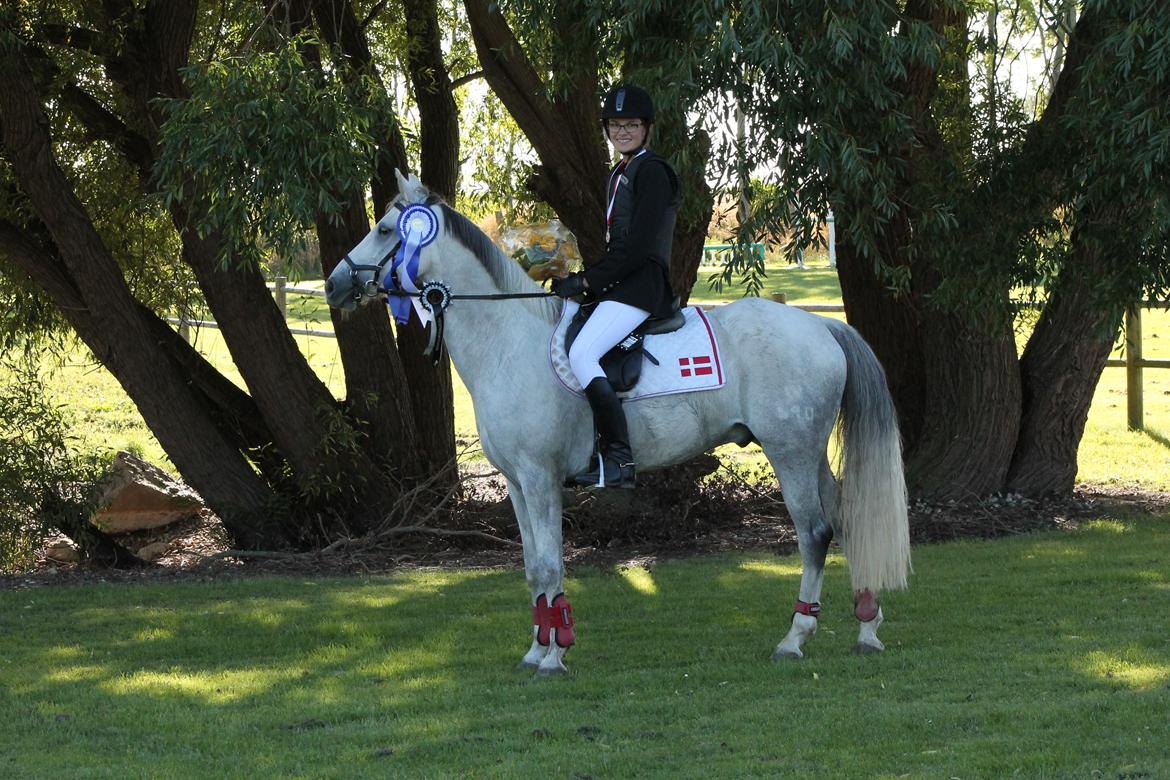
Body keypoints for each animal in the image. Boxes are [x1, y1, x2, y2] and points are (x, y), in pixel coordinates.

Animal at [325, 170, 907, 678]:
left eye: (384, 230)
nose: (334, 286)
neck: (508, 342)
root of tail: (822, 326)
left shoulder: (541, 479)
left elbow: (550, 564)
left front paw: (555, 655)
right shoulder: (516, 483)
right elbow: (531, 565)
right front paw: (537, 649)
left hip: (790, 452)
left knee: (814, 532)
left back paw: (795, 637)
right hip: (808, 453)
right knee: (845, 519)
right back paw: (867, 626)